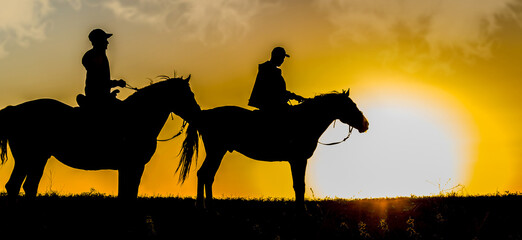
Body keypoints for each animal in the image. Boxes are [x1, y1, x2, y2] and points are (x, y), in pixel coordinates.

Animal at [0, 76, 199, 202]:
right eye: (188, 95)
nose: (198, 113)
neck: (136, 117)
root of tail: (14, 109)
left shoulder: (128, 166)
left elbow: (126, 193)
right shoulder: (132, 165)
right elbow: (128, 193)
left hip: (38, 158)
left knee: (27, 186)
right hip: (26, 158)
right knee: (15, 185)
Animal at [177, 89, 368, 209]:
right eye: (351, 105)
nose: (365, 124)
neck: (305, 120)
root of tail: (204, 115)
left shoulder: (297, 160)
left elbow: (299, 185)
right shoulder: (298, 160)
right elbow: (299, 186)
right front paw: (302, 211)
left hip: (217, 152)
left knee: (207, 175)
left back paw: (208, 206)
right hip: (216, 151)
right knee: (205, 174)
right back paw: (204, 207)